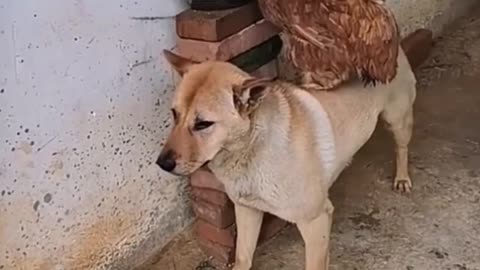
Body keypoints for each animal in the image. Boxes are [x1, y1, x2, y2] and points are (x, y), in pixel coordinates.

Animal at [158, 47, 416, 268]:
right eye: (174, 114)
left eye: (203, 124)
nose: (161, 164)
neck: (252, 150)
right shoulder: (247, 210)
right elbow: (243, 257)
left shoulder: (316, 221)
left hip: (398, 120)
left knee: (402, 148)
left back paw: (402, 178)